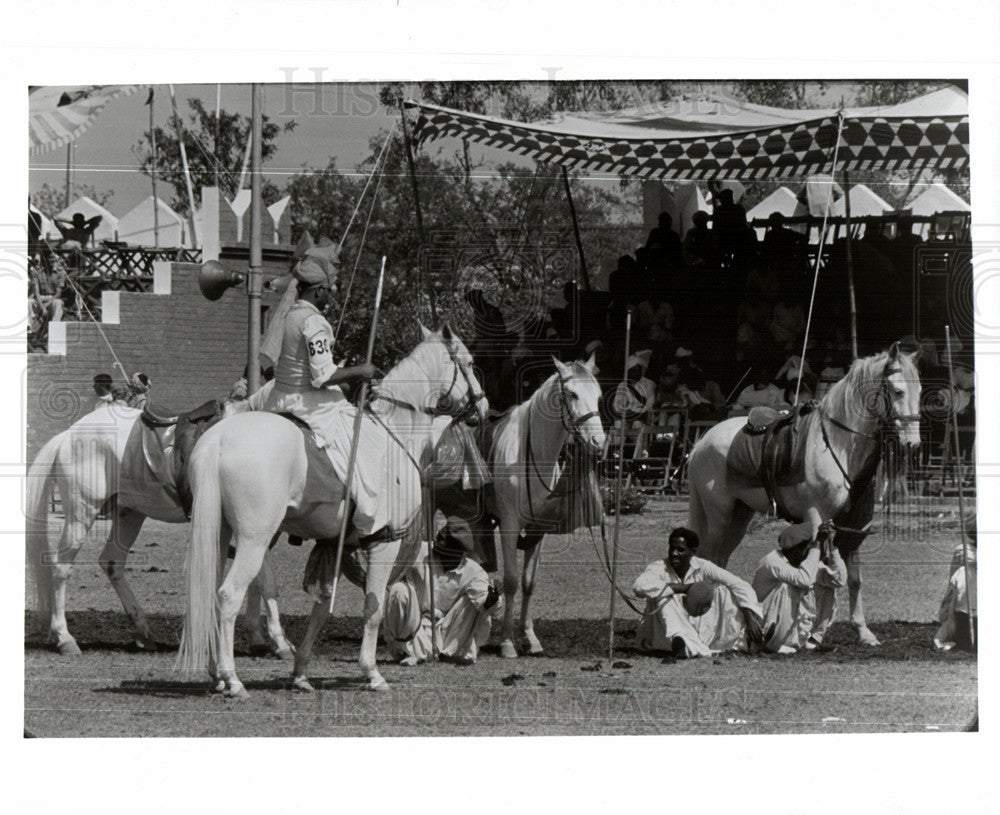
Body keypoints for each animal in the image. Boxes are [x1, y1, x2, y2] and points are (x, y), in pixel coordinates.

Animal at [24, 404, 292, 660]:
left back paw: (143, 631)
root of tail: (68, 434)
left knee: (112, 562)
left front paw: (272, 641)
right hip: (82, 513)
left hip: (129, 514)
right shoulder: (249, 527)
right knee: (61, 568)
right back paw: (65, 638)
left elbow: (263, 581)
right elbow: (261, 580)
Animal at [176, 328, 488, 700]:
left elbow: (322, 608)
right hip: (254, 540)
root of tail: (218, 438)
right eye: (469, 361)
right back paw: (232, 678)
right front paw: (372, 673)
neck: (394, 436)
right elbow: (373, 607)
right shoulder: (383, 542)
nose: (484, 406)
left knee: (209, 594)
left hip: (219, 533)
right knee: (227, 595)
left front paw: (300, 673)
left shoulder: (333, 546)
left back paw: (216, 675)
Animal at [474, 356, 604, 656]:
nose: (599, 443)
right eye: (572, 394)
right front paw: (507, 642)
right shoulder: (509, 526)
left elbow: (528, 583)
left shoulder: (538, 530)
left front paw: (530, 638)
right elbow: (511, 581)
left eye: (598, 396)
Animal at [692, 342, 916, 644]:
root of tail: (702, 441)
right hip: (719, 515)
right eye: (898, 391)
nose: (912, 444)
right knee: (708, 557)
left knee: (720, 560)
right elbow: (820, 574)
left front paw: (862, 632)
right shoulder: (819, 521)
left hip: (739, 516)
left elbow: (852, 579)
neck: (839, 446)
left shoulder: (853, 527)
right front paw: (812, 631)